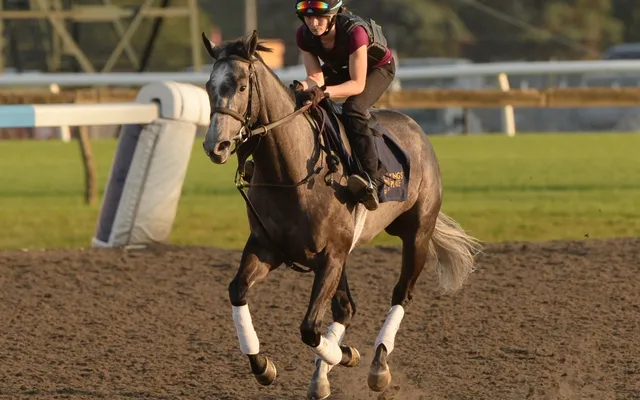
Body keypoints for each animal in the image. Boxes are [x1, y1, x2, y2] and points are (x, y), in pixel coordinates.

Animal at [200, 30, 482, 400]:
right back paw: (324, 375)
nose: (215, 146)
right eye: (209, 86)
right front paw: (264, 366)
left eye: (242, 86)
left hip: (417, 233)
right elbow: (238, 291)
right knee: (346, 308)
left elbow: (309, 328)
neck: (291, 175)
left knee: (401, 294)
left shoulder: (331, 256)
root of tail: (415, 128)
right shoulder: (267, 248)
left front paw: (346, 355)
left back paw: (378, 365)